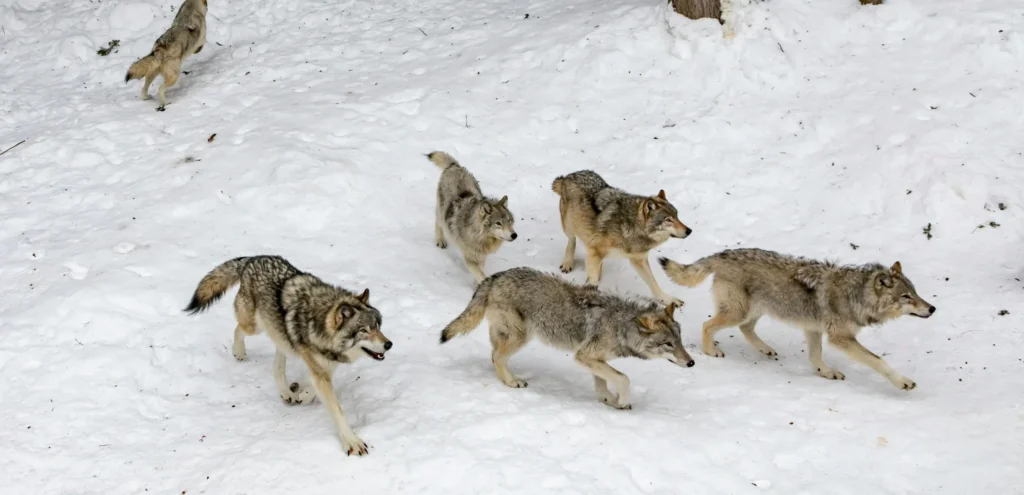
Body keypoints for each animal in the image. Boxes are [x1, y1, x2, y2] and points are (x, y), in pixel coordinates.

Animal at [184, 255, 392, 456]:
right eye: (364, 331)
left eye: (378, 327)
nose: (389, 344)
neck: (319, 324)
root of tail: (252, 259)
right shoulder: (320, 370)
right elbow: (336, 410)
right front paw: (352, 442)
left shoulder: (326, 366)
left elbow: (312, 387)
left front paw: (303, 394)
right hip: (254, 327)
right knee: (238, 330)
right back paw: (239, 352)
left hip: (279, 335)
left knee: (277, 363)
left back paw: (286, 391)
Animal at [426, 151, 517, 284]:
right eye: (498, 223)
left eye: (509, 221)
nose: (514, 235)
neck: (479, 236)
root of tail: (455, 166)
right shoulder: (469, 259)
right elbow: (481, 275)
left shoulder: (481, 257)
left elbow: (480, 273)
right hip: (441, 212)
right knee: (438, 222)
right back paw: (440, 241)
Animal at [439, 267, 694, 409]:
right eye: (668, 344)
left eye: (680, 341)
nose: (691, 362)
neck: (621, 325)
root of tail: (494, 277)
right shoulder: (584, 356)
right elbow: (624, 378)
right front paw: (621, 400)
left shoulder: (593, 359)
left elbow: (603, 382)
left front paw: (609, 400)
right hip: (521, 337)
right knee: (497, 357)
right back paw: (512, 382)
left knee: (493, 355)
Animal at [552, 170, 691, 306]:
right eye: (668, 220)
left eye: (677, 216)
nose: (689, 231)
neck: (630, 227)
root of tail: (568, 176)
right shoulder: (595, 250)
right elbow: (592, 279)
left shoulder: (639, 259)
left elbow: (654, 284)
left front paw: (668, 300)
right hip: (569, 226)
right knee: (572, 240)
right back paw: (567, 263)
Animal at [658, 248, 936, 390]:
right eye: (906, 297)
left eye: (916, 293)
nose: (932, 308)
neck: (856, 295)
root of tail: (722, 254)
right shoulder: (840, 338)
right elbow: (878, 361)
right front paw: (903, 382)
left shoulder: (814, 329)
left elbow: (815, 357)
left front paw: (826, 372)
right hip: (739, 311)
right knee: (708, 325)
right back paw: (711, 351)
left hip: (756, 310)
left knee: (746, 329)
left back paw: (766, 349)